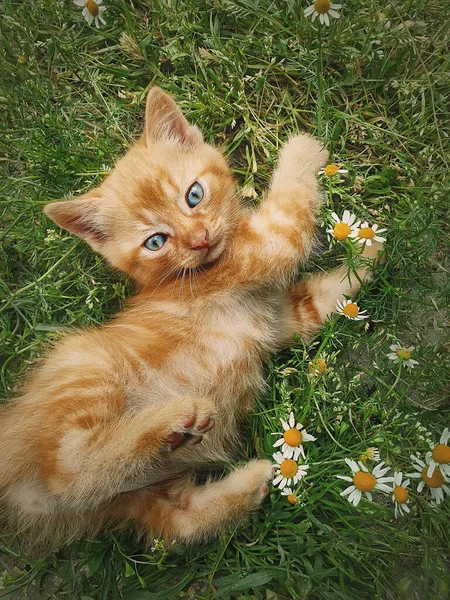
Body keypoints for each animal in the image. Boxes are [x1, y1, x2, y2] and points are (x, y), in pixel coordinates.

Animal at [0, 89, 384, 544]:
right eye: (156, 241)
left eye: (194, 195)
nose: (198, 240)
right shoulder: (268, 245)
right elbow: (290, 209)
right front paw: (303, 147)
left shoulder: (282, 316)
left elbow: (318, 300)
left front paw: (367, 257)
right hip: (85, 367)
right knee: (69, 473)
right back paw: (172, 421)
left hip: (137, 496)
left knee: (176, 522)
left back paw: (244, 478)